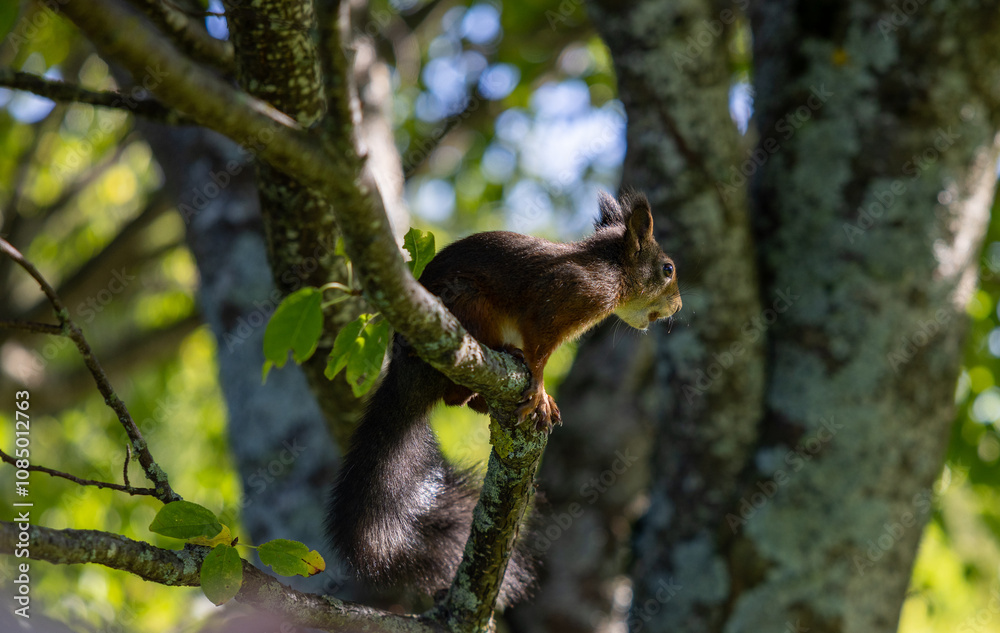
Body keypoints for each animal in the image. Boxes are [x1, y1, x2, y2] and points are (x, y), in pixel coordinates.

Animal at [326, 190, 682, 607]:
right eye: (668, 269)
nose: (677, 307)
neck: (611, 272)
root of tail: (404, 364)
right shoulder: (559, 298)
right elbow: (539, 350)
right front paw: (541, 391)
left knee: (454, 397)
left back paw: (482, 394)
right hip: (468, 304)